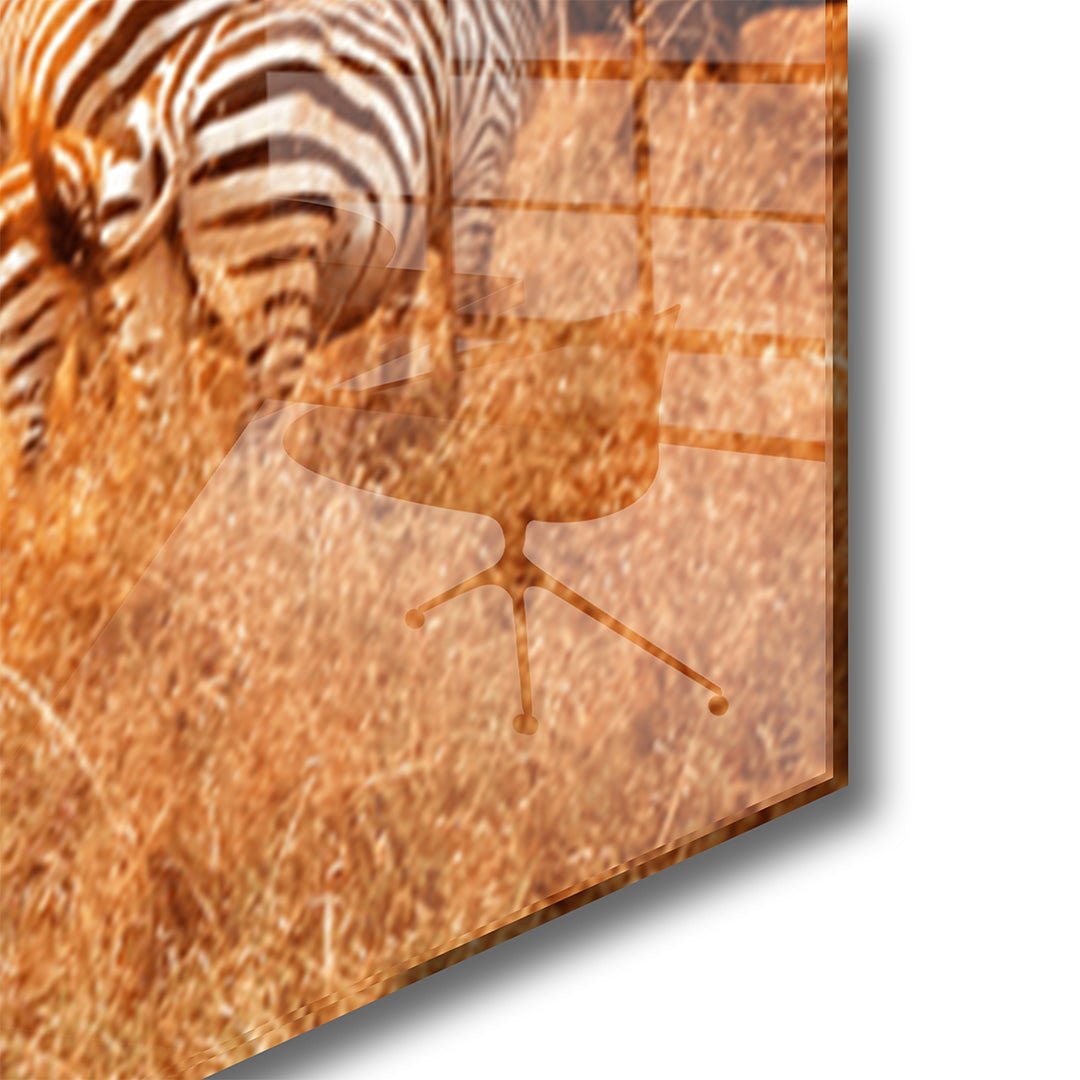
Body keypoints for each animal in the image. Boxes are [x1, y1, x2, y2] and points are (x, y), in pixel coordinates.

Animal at [0, 0, 559, 464]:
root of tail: (169, 113)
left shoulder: (418, 199)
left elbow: (401, 325)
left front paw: (392, 430)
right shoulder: (476, 152)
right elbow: (464, 313)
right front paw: (456, 432)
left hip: (143, 277)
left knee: (150, 422)